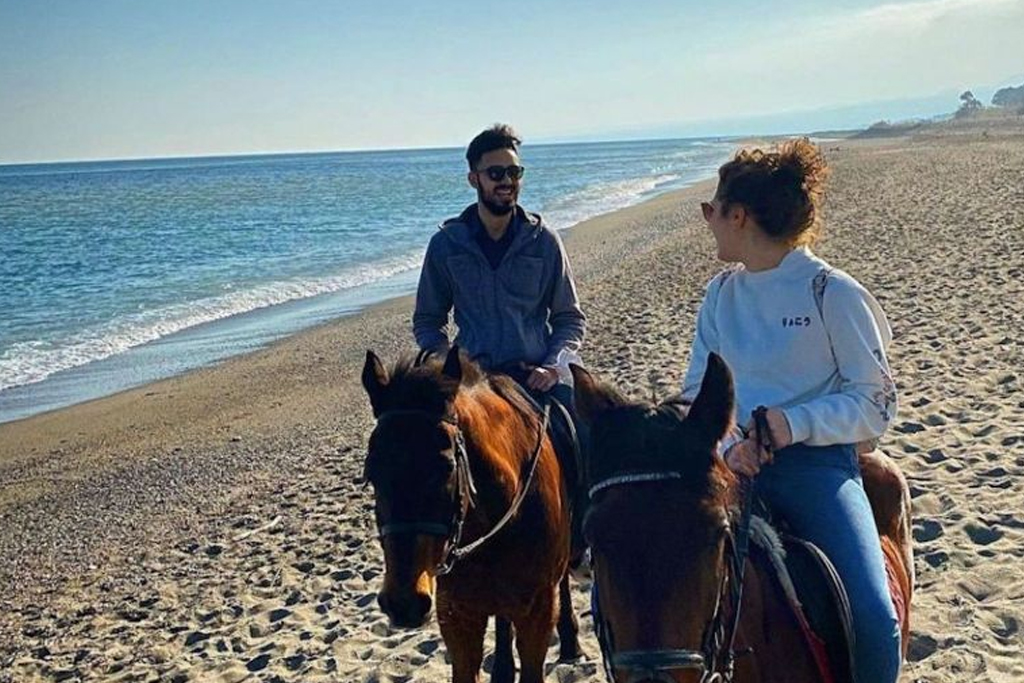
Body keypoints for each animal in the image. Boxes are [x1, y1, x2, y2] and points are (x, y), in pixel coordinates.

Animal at [364, 350, 581, 679]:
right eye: (371, 473)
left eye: (446, 467)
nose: (403, 604)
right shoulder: (458, 615)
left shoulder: (537, 613)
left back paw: (571, 643)